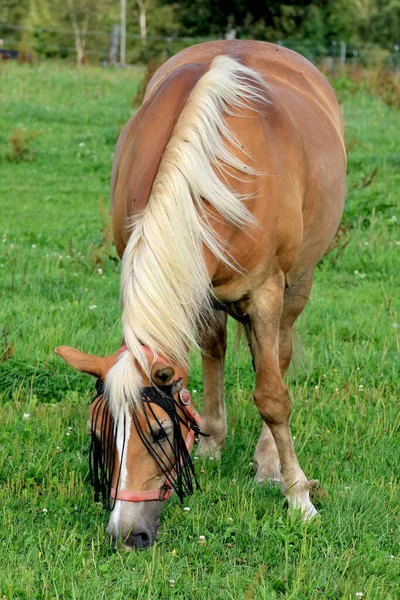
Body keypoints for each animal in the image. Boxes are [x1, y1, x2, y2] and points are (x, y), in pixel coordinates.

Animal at [54, 41, 346, 548]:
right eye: (98, 431)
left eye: (161, 431)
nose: (126, 534)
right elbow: (211, 356)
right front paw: (209, 439)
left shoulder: (266, 293)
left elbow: (273, 395)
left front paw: (298, 496)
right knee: (215, 349)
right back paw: (214, 437)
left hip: (297, 284)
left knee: (279, 356)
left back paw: (268, 463)